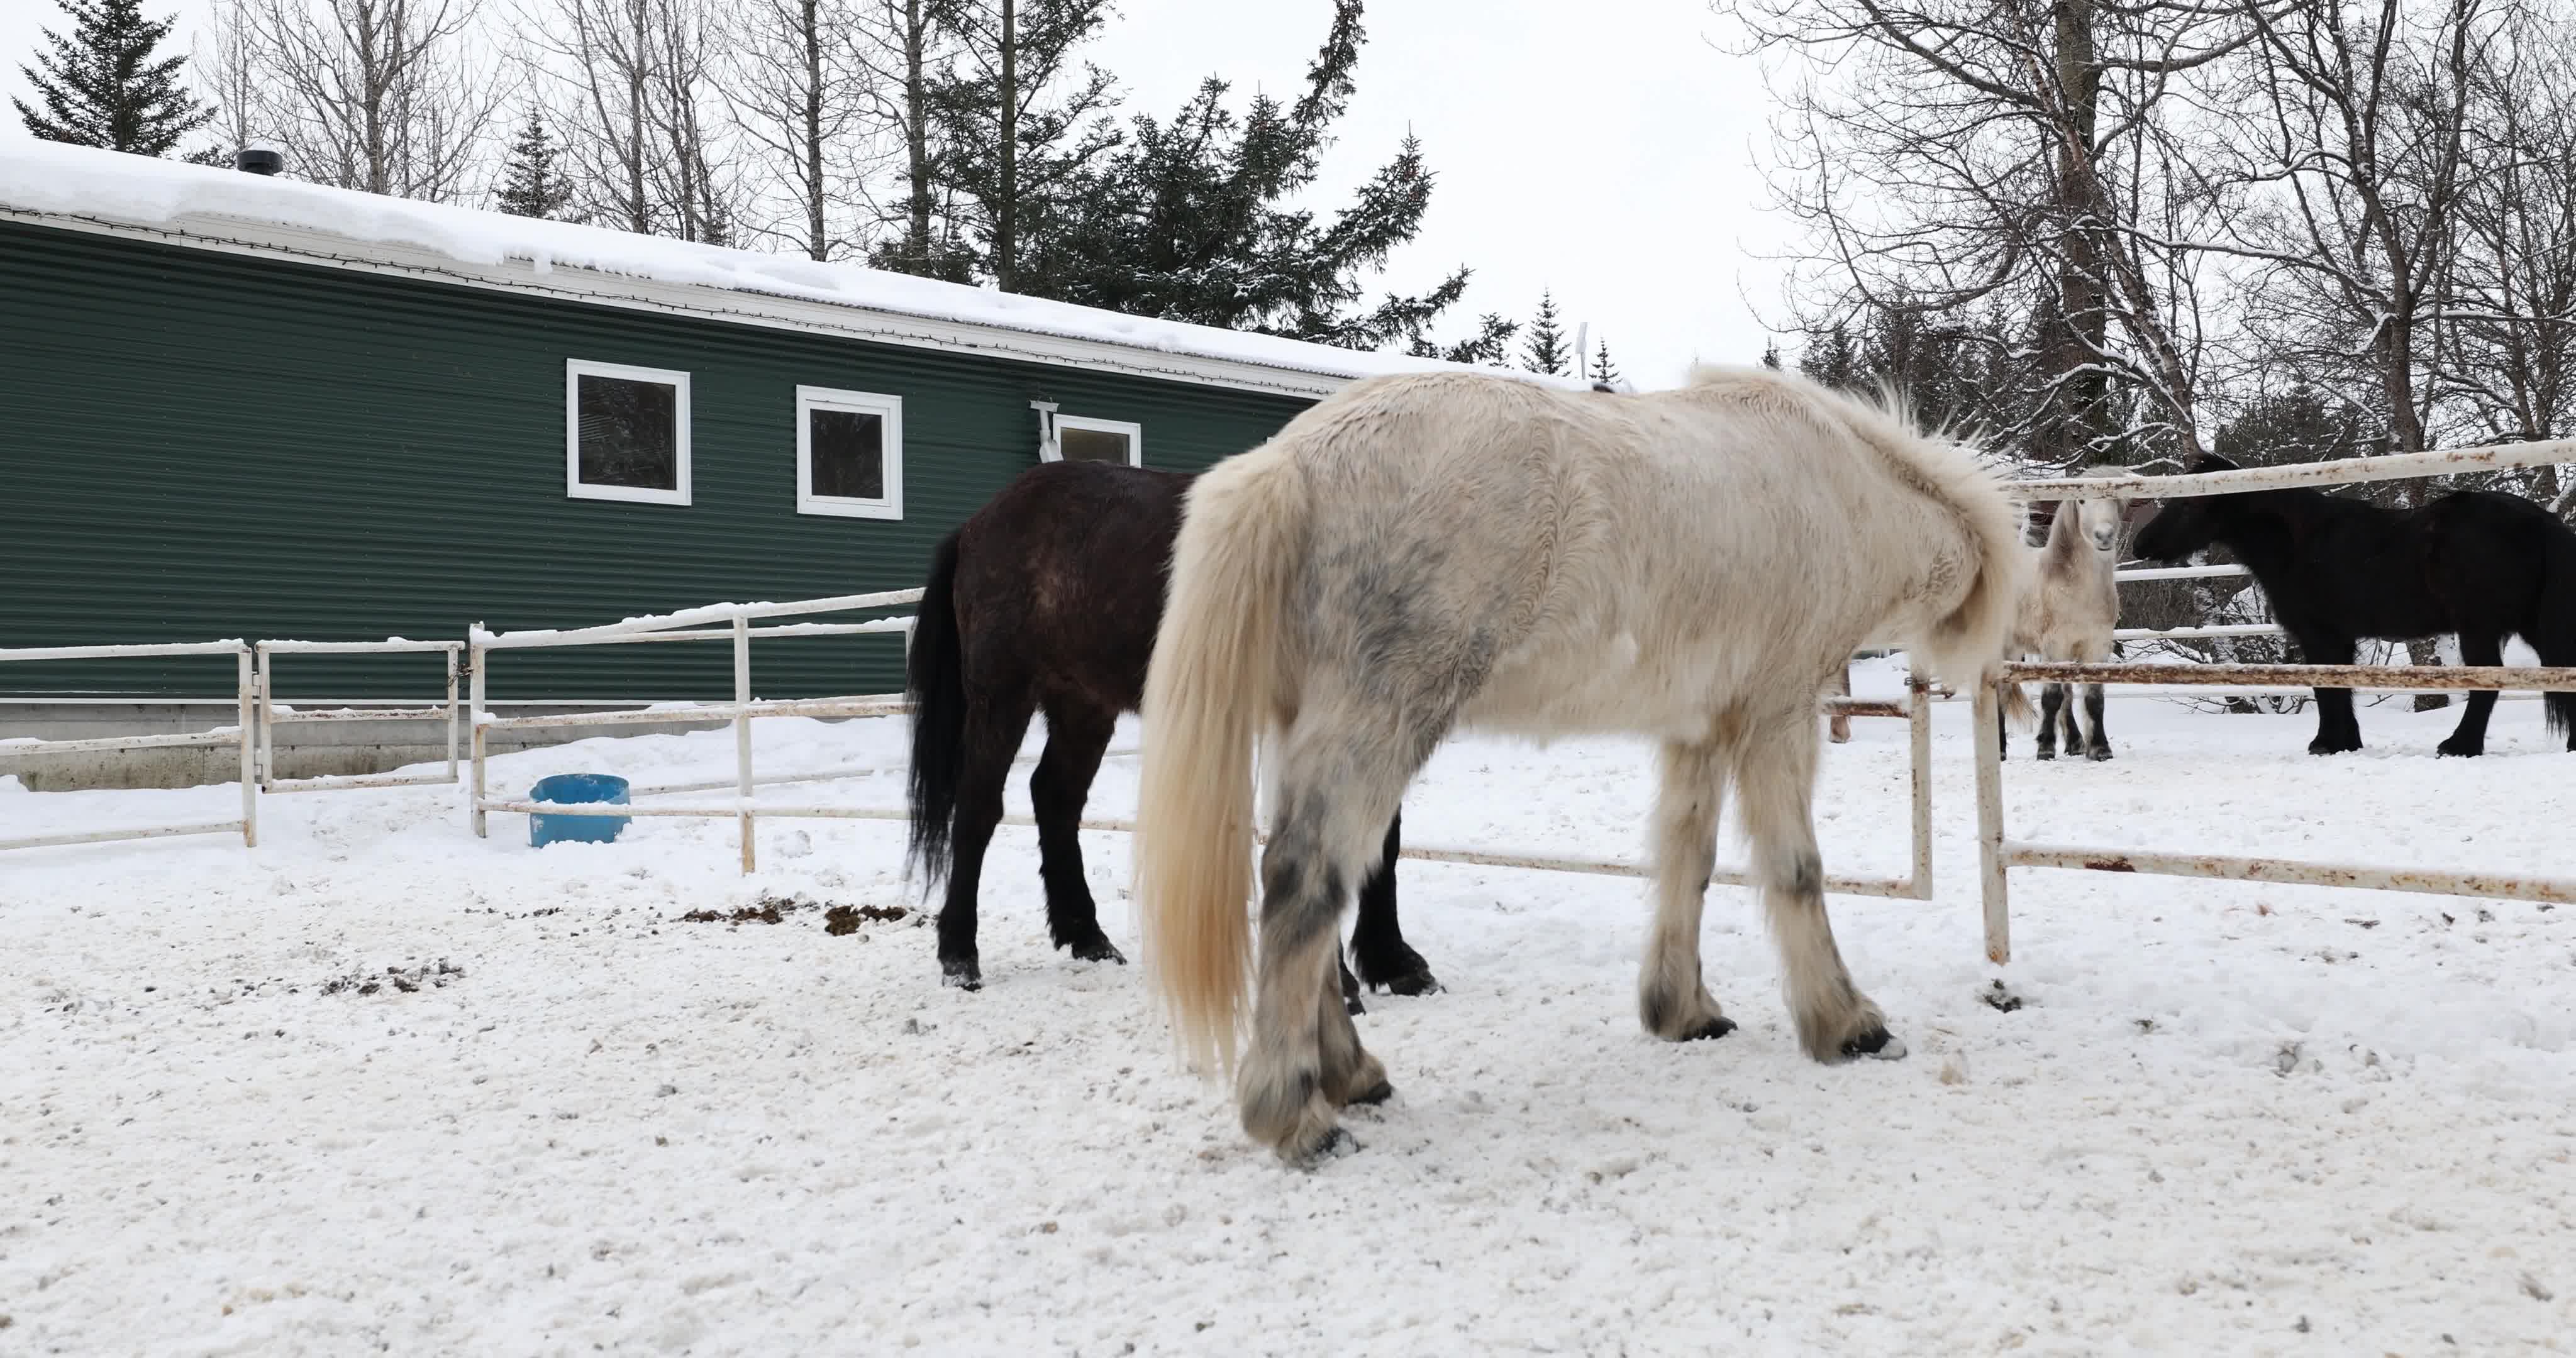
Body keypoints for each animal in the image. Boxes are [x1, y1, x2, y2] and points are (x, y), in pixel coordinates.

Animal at [903, 458, 1439, 1006]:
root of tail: (976, 527)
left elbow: (1384, 841)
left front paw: (1393, 963)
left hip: (1082, 704)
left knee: (1055, 798)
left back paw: (1087, 938)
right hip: (1002, 696)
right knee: (978, 808)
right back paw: (959, 956)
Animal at [1132, 365, 2029, 1165]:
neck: (1840, 490)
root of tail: (1291, 464)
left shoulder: (1700, 729)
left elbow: (1688, 860)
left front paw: (1683, 1012)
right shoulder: (1777, 714)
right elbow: (1796, 870)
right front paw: (1848, 1025)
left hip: (1307, 730)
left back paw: (1351, 1075)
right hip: (1376, 721)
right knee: (1305, 878)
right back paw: (1298, 1118)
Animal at [2004, 471, 2129, 761]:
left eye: (2114, 497)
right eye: (2082, 500)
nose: (2104, 535)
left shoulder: (2096, 647)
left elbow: (2093, 699)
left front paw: (2100, 748)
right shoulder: (2055, 647)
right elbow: (2052, 698)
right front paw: (2045, 748)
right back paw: (2000, 750)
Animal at [2133, 452, 2576, 756]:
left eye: (2187, 504)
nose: (2141, 545)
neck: (2300, 545)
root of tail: (2539, 521)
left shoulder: (2319, 635)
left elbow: (2327, 687)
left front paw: (2325, 743)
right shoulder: (2339, 638)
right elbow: (2340, 686)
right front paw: (2345, 742)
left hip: (2478, 627)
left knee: (2488, 681)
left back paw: (2458, 746)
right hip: (2531, 624)